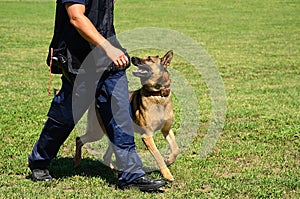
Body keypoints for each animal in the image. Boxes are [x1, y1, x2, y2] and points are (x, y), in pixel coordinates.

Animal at [73, 50, 178, 181]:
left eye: (149, 59)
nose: (132, 58)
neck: (157, 94)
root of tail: (97, 99)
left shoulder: (167, 130)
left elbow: (176, 149)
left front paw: (169, 160)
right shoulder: (147, 136)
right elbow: (158, 155)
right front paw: (167, 174)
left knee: (106, 155)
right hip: (97, 132)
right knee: (79, 139)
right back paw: (77, 162)